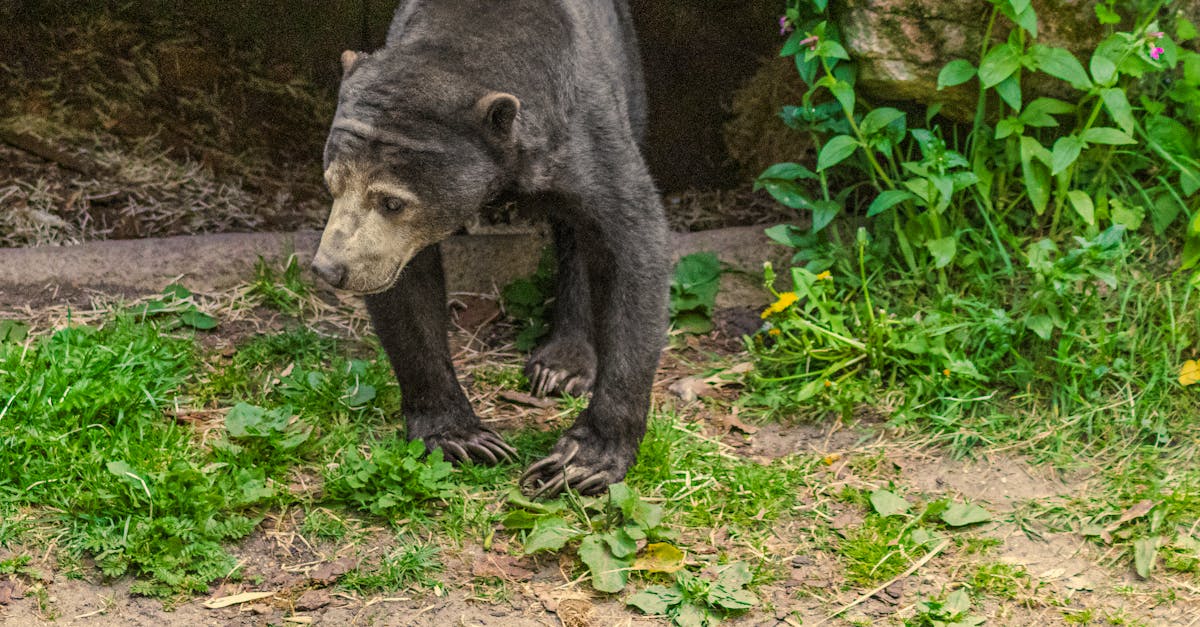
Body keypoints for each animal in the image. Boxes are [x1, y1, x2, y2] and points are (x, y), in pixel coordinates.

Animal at [309, 1, 672, 497]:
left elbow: (633, 248)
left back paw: (561, 366)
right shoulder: (392, 247)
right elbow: (406, 290)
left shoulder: (587, 132)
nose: (330, 268)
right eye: (332, 185)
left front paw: (579, 462)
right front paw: (464, 439)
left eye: (392, 201)